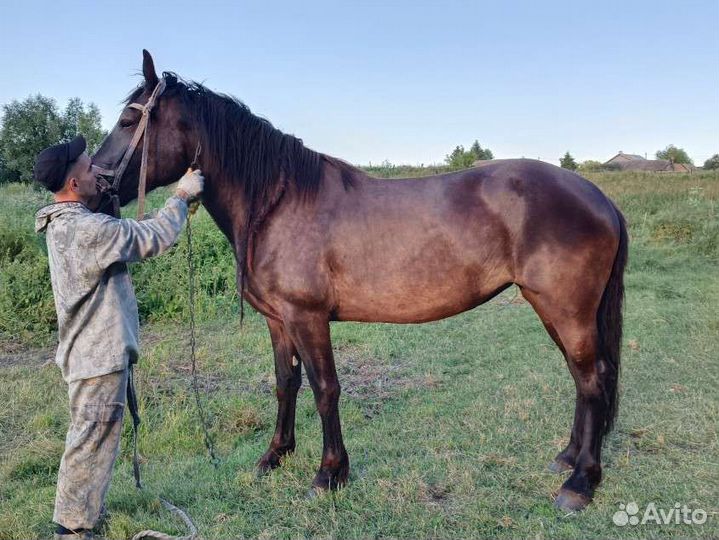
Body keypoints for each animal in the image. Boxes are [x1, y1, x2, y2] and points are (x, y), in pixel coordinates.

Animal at [93, 50, 627, 512]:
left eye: (128, 121)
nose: (93, 183)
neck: (278, 203)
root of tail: (598, 197)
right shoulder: (279, 321)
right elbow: (285, 384)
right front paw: (275, 456)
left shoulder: (308, 318)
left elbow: (325, 388)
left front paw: (329, 473)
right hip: (554, 309)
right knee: (582, 377)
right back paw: (568, 458)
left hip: (565, 309)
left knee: (592, 377)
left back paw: (580, 482)